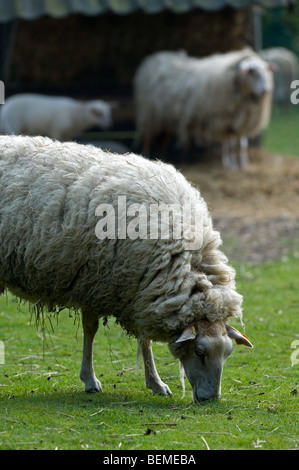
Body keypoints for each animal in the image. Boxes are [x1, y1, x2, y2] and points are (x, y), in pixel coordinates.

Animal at [0, 134, 253, 402]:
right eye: (199, 351)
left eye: (227, 354)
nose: (211, 399)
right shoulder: (97, 281)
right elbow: (91, 329)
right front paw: (90, 379)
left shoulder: (134, 289)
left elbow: (144, 340)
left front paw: (155, 383)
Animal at [135, 47, 274, 172]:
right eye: (251, 72)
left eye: (265, 72)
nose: (265, 90)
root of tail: (153, 58)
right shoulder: (224, 121)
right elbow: (229, 144)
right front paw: (230, 165)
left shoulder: (241, 122)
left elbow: (241, 145)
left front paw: (242, 164)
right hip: (149, 115)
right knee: (147, 139)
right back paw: (145, 157)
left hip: (164, 118)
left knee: (163, 140)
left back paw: (161, 159)